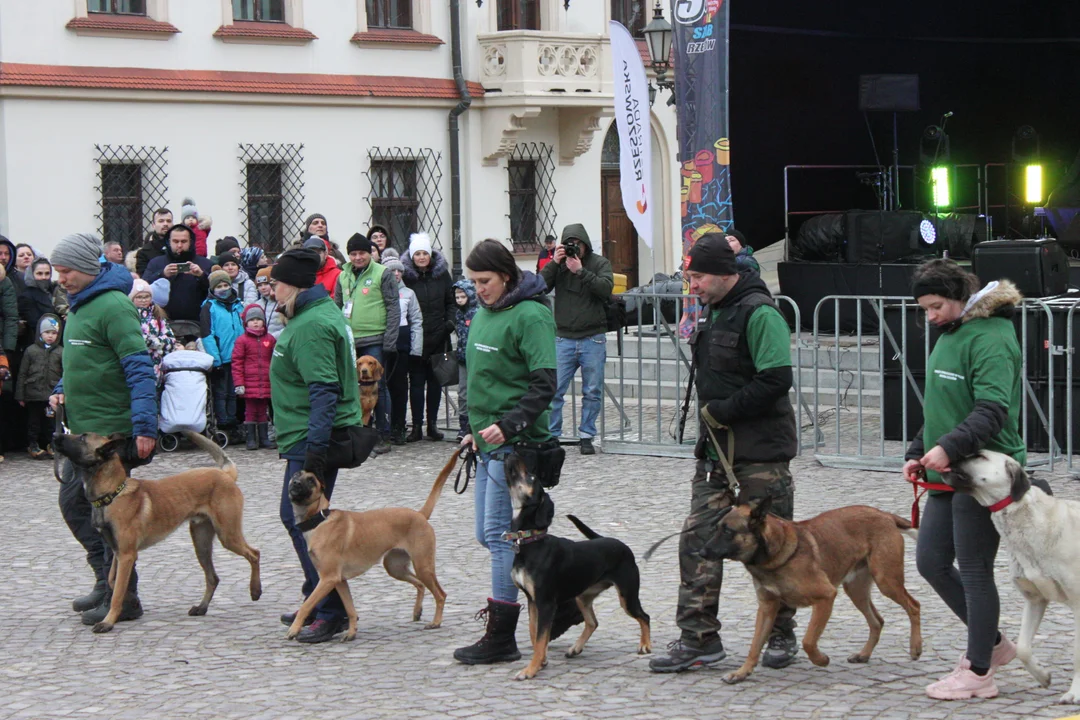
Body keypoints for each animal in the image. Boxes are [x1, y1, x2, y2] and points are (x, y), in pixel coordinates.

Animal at [54, 431, 263, 634]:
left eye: (82, 438)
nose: (56, 436)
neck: (113, 493)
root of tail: (224, 474)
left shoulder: (127, 555)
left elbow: (117, 593)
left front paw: (108, 622)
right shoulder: (117, 552)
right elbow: (113, 581)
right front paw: (128, 602)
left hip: (227, 535)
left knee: (254, 554)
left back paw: (255, 590)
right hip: (201, 543)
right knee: (213, 577)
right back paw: (202, 607)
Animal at [282, 446, 460, 639]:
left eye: (311, 480)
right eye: (296, 474)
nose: (295, 483)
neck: (319, 520)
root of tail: (419, 514)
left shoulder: (328, 579)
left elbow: (306, 605)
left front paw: (294, 629)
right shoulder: (339, 581)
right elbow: (350, 609)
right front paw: (351, 632)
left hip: (423, 566)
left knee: (441, 594)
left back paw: (436, 622)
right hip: (395, 567)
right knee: (420, 585)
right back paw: (417, 611)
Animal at [503, 455, 648, 682]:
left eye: (531, 476)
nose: (512, 455)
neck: (530, 541)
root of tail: (620, 544)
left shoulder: (545, 602)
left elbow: (540, 637)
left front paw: (531, 670)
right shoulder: (532, 600)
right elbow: (534, 634)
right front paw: (541, 662)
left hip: (627, 595)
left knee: (644, 616)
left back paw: (645, 645)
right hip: (583, 596)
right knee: (593, 622)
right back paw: (576, 648)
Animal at [708, 498, 920, 686]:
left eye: (728, 531)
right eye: (717, 528)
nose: (703, 551)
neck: (775, 556)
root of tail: (884, 514)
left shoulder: (826, 597)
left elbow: (808, 641)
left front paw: (821, 660)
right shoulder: (767, 608)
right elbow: (754, 645)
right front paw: (741, 673)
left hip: (886, 581)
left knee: (914, 606)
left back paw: (915, 648)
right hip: (855, 589)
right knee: (878, 621)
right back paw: (864, 654)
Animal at [946, 451, 1080, 703]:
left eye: (980, 455)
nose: (949, 456)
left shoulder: (1079, 605)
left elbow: (1078, 654)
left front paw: (1074, 693)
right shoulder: (1035, 599)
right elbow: (1022, 648)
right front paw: (1042, 675)